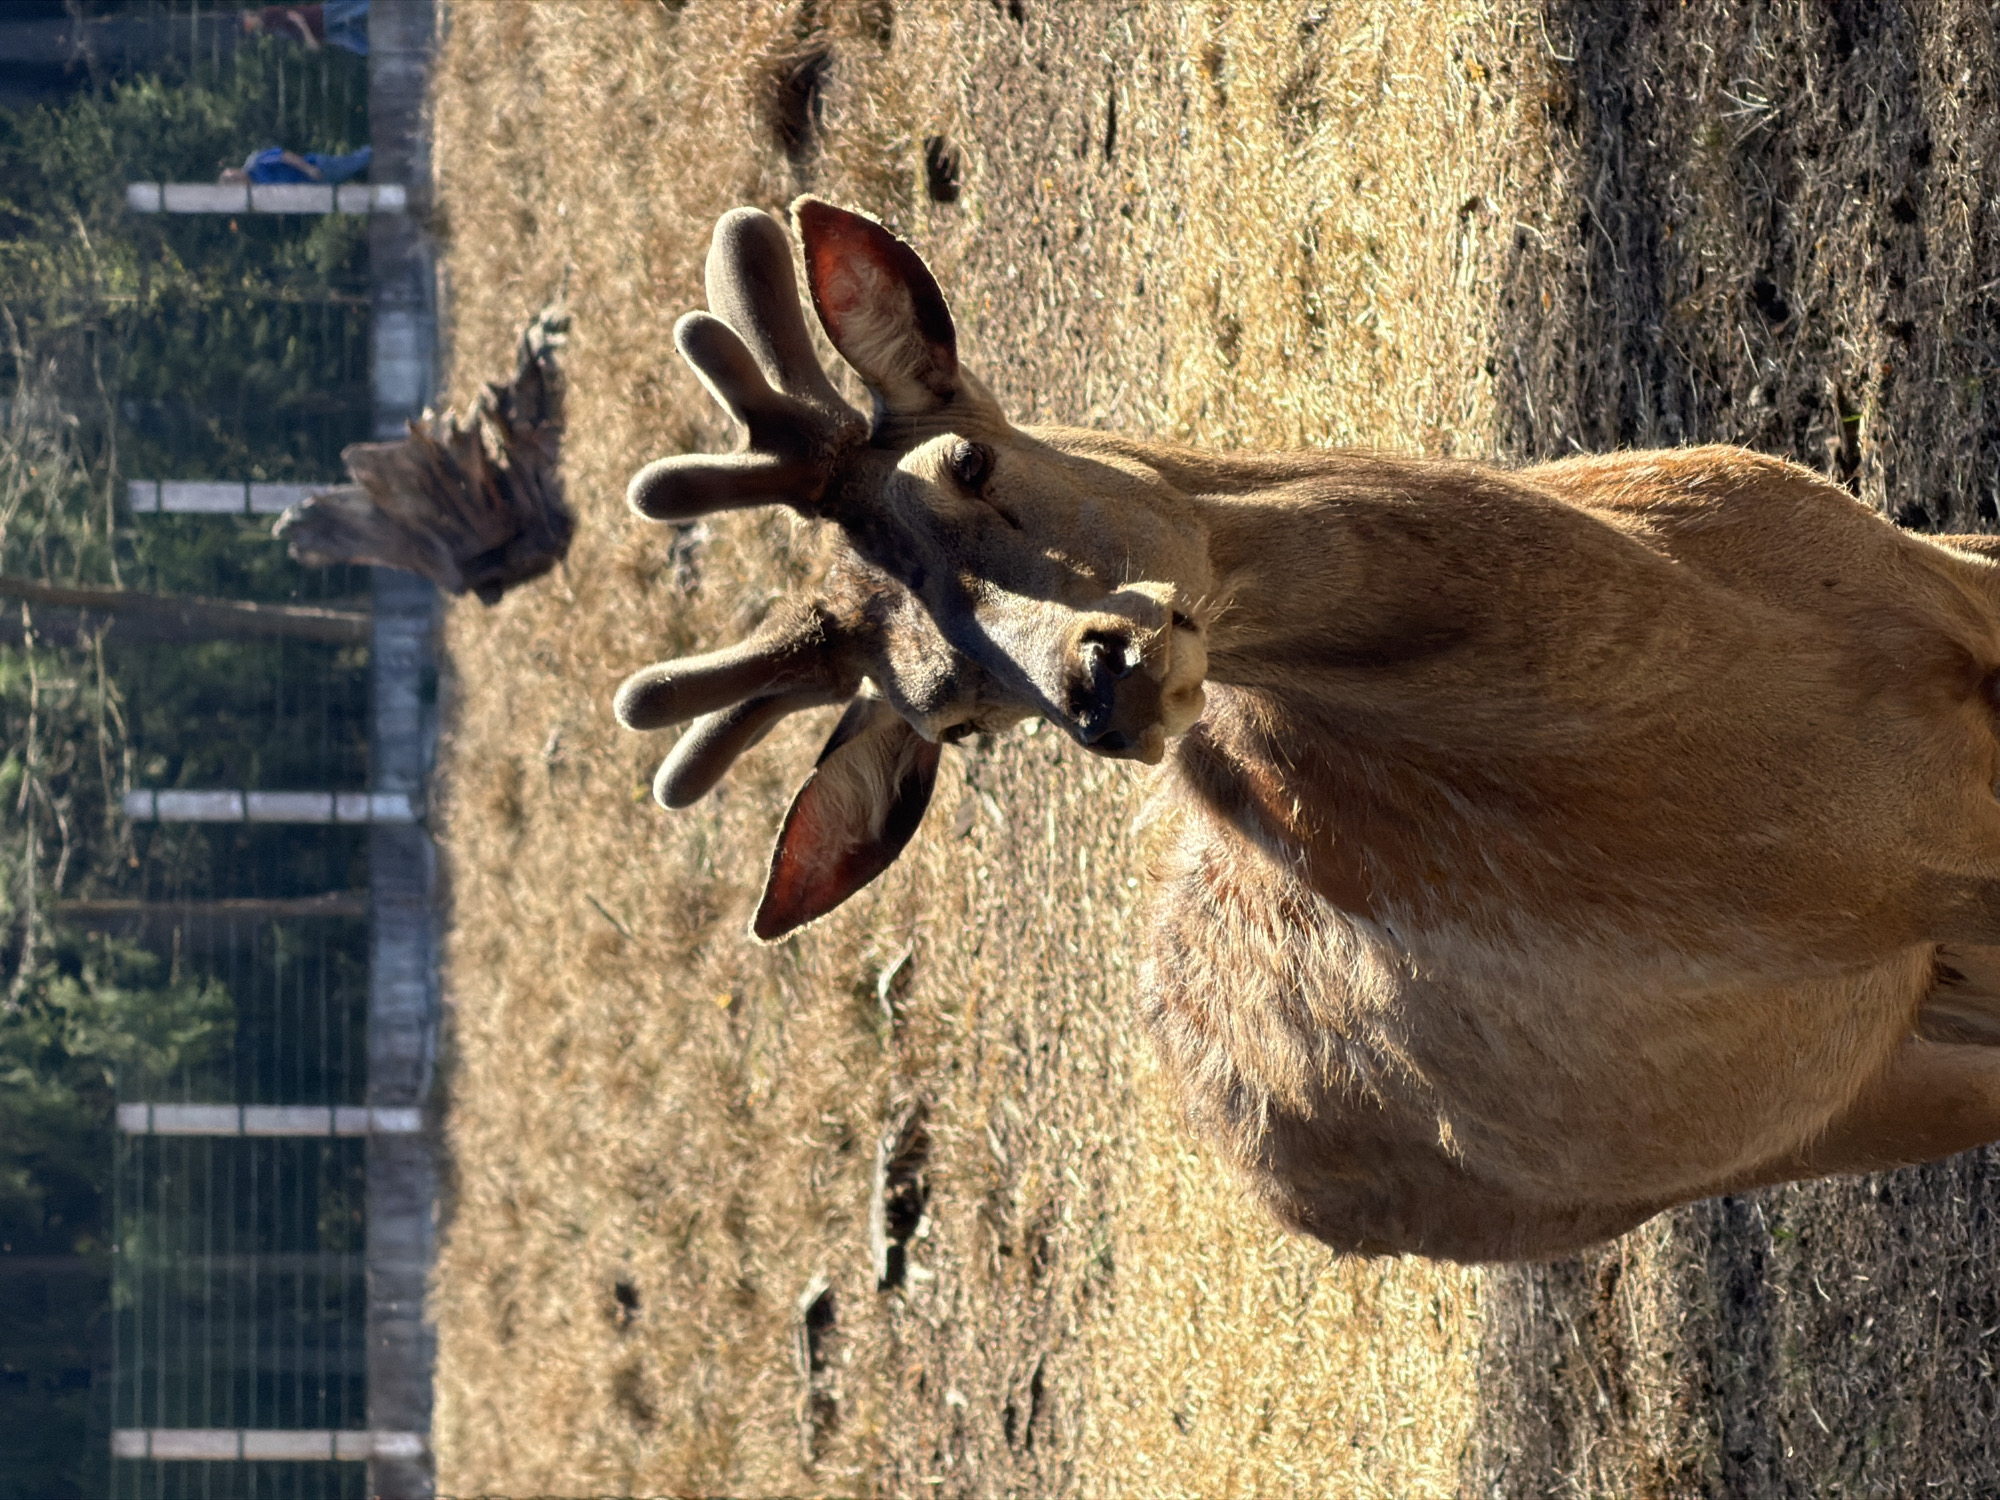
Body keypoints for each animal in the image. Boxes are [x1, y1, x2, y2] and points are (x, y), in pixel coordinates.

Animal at [610, 199, 2000, 1262]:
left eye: (968, 461)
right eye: (952, 716)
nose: (1097, 682)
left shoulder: (1935, 577)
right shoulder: (1887, 887)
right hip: (1768, 1118)